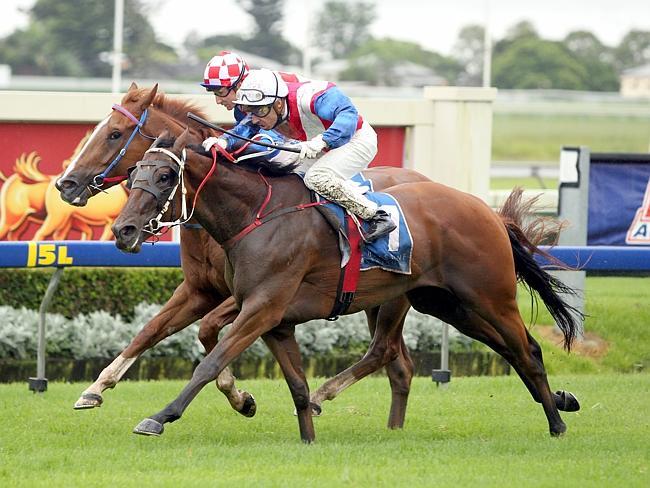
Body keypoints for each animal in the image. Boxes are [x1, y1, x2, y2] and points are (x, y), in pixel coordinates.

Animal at [55, 83, 428, 424]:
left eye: (114, 134)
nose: (66, 184)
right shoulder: (199, 290)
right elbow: (151, 330)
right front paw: (95, 389)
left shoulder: (252, 294)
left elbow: (207, 330)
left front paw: (240, 397)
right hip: (375, 296)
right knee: (399, 364)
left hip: (391, 296)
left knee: (384, 350)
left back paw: (322, 396)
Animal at [110, 130, 576, 442]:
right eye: (132, 176)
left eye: (166, 177)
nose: (123, 229)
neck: (257, 216)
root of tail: (489, 212)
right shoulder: (274, 318)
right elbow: (296, 385)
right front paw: (307, 437)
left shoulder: (260, 308)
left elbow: (209, 363)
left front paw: (160, 417)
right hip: (447, 304)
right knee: (509, 351)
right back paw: (557, 403)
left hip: (489, 297)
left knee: (526, 351)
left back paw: (556, 422)